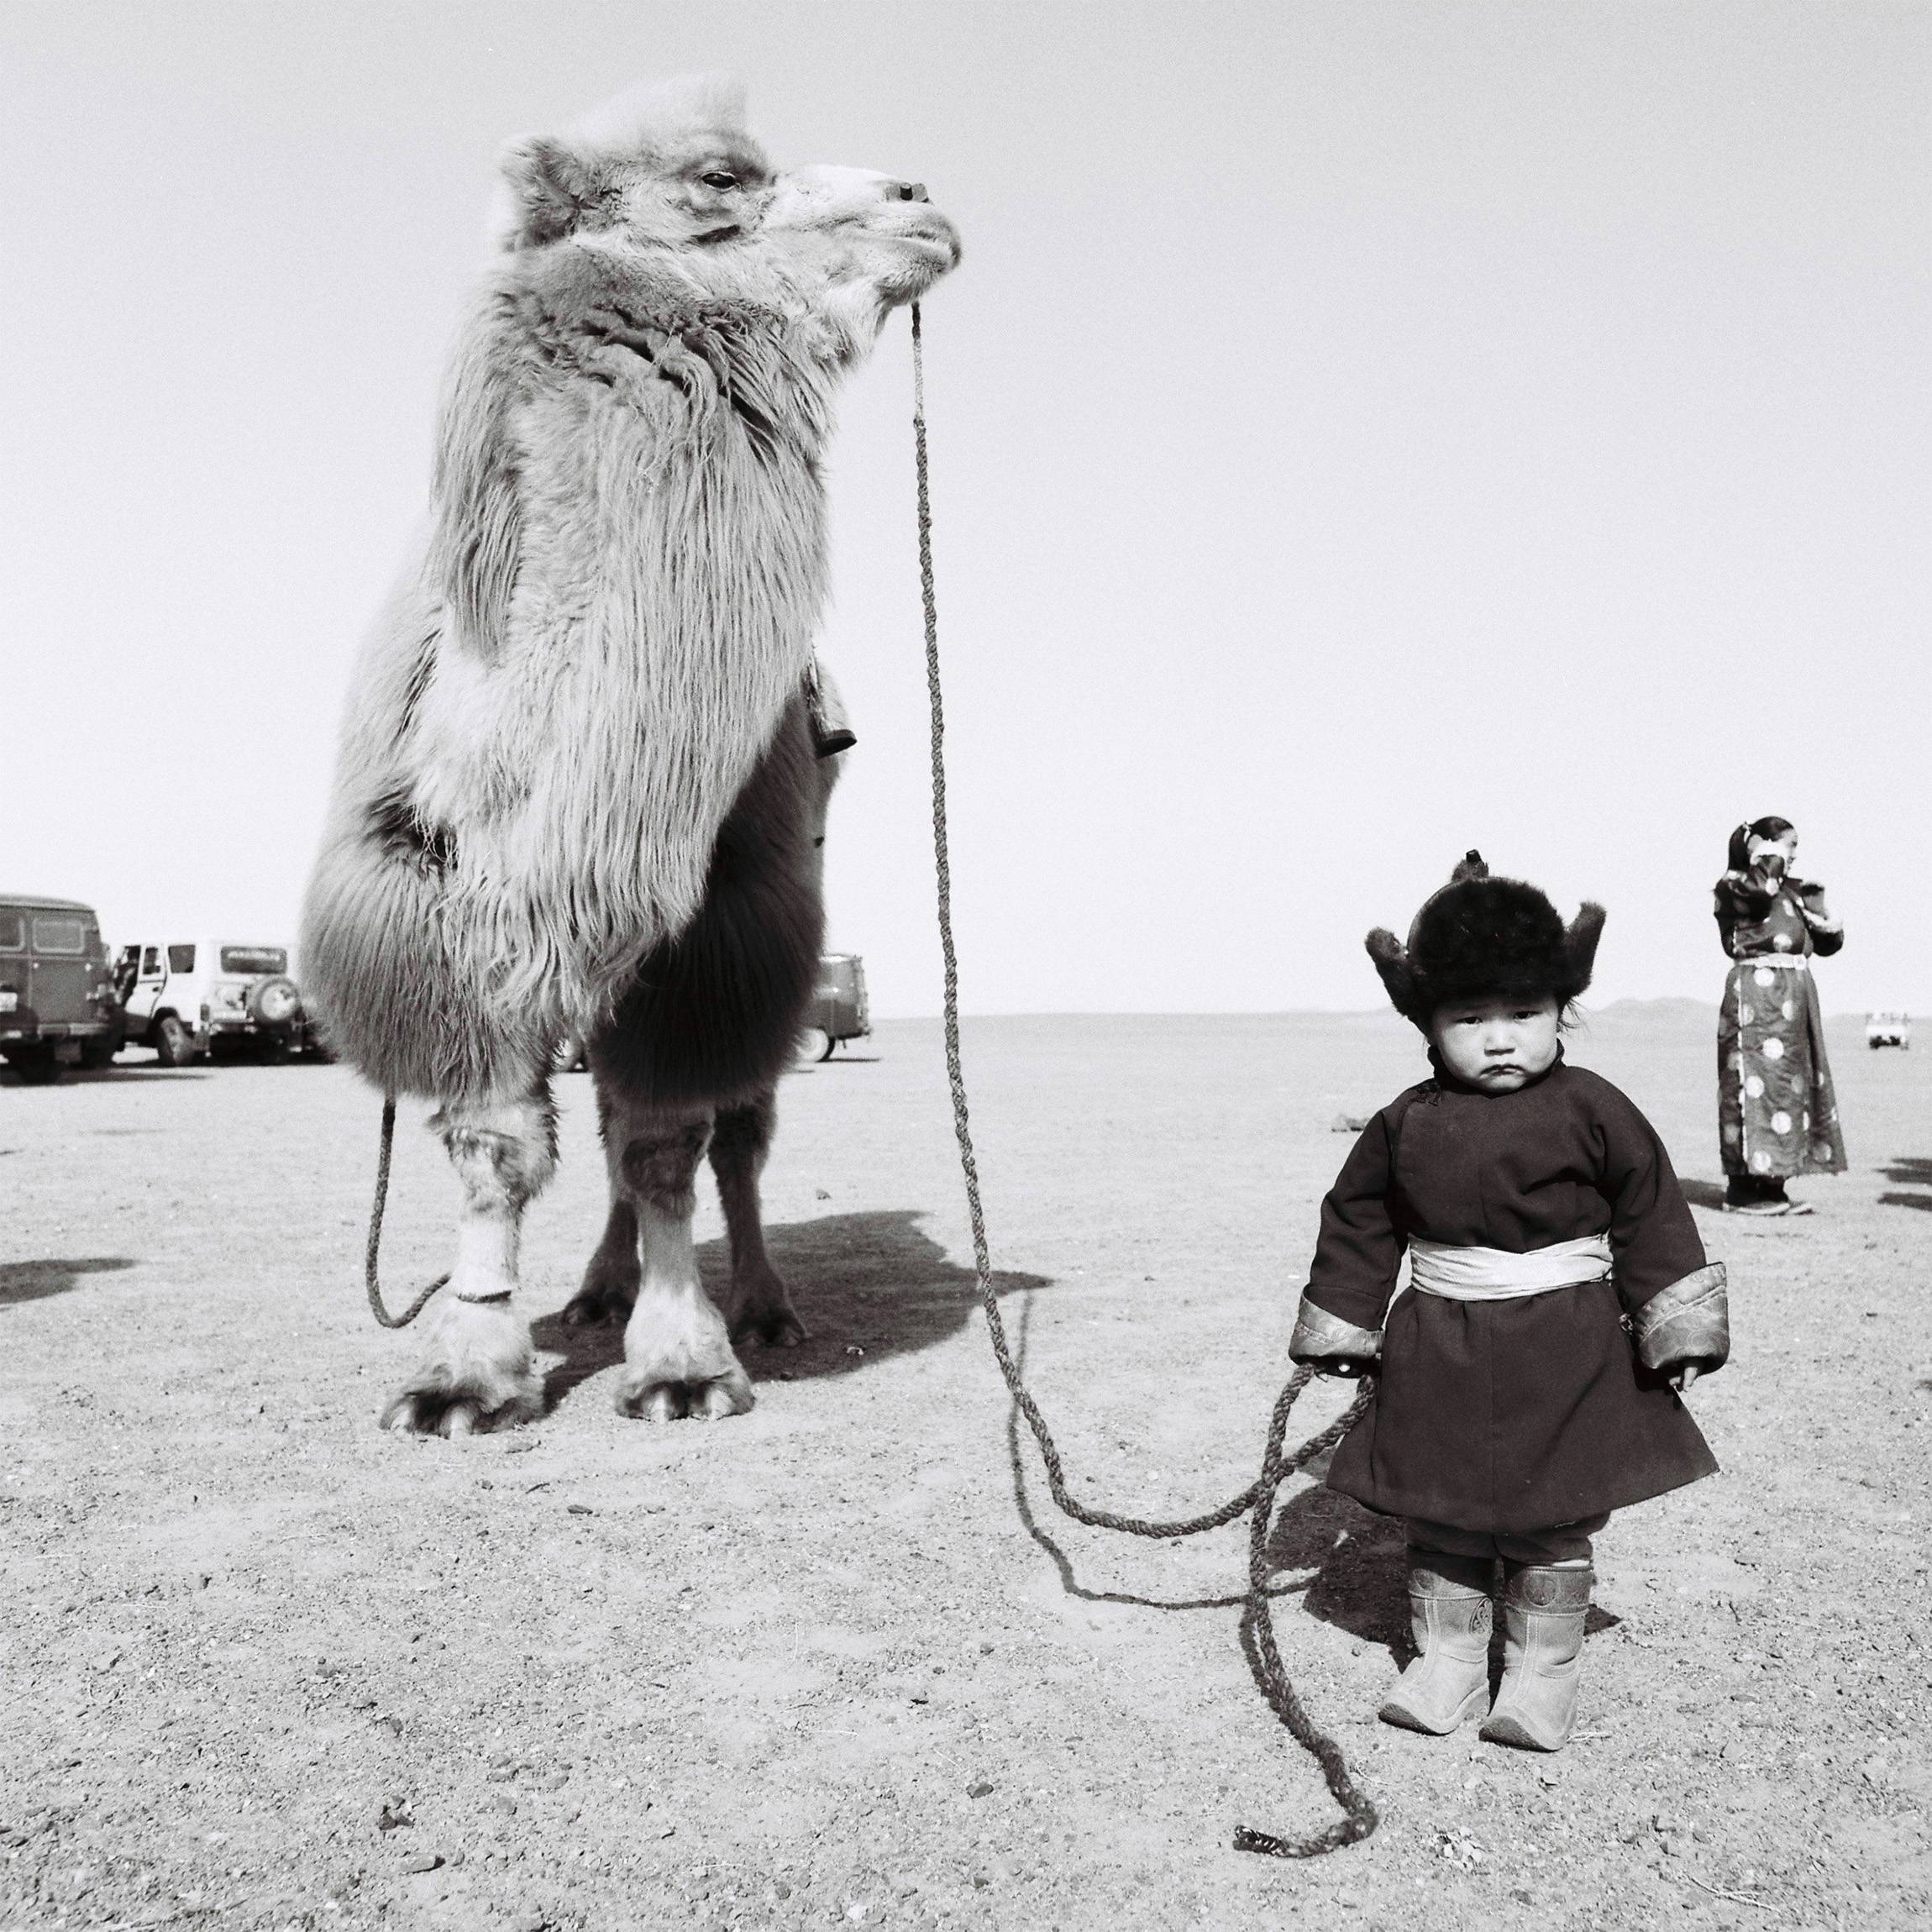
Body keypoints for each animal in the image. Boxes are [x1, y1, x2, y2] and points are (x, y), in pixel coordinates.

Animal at [299, 75, 958, 1437]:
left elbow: (666, 1140)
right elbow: (494, 1147)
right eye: (720, 178)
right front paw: (465, 1375)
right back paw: (594, 1293)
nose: (924, 202)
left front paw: (685, 1366)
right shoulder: (447, 914)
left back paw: (759, 1306)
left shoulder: (711, 938)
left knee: (738, 1132)